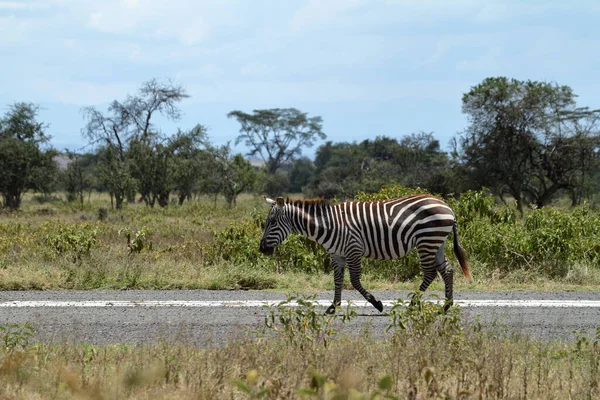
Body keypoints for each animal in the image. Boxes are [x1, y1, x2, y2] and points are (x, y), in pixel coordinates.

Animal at [258, 195, 474, 314]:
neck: (328, 225)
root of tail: (447, 207)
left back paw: (413, 304)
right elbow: (337, 280)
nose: (262, 249)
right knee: (447, 270)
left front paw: (377, 304)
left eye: (273, 223)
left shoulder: (353, 250)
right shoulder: (337, 255)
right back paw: (446, 306)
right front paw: (333, 307)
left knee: (430, 272)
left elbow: (354, 281)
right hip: (436, 241)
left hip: (426, 240)